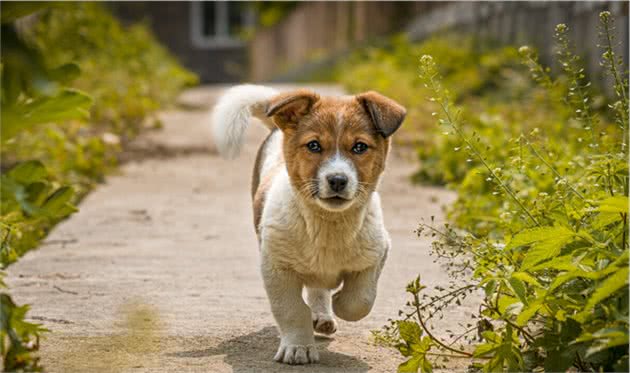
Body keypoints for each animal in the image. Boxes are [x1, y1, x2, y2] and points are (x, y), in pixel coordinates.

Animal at [214, 85, 410, 364]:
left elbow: (359, 300)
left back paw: (324, 315)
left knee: (319, 290)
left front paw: (339, 302)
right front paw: (298, 347)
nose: (337, 180)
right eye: (314, 146)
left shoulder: (377, 253)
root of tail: (276, 129)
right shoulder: (277, 268)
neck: (328, 224)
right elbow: (292, 310)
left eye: (360, 147)